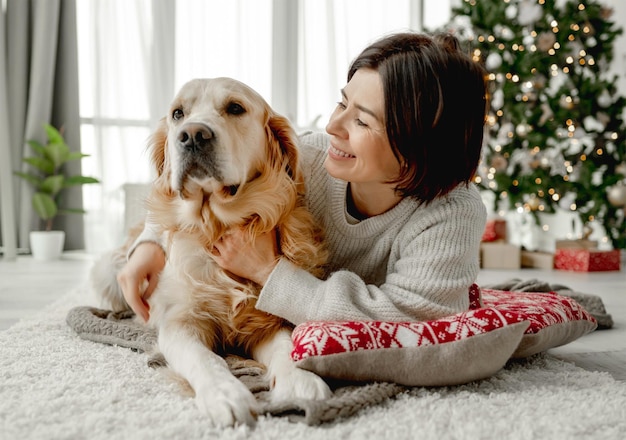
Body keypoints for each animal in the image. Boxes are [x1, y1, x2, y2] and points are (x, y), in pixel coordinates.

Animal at [91, 77, 332, 424]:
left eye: (235, 108)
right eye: (178, 113)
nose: (192, 135)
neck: (216, 225)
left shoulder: (265, 320)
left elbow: (286, 345)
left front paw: (301, 380)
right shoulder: (180, 322)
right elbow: (205, 359)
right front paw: (225, 394)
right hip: (108, 270)